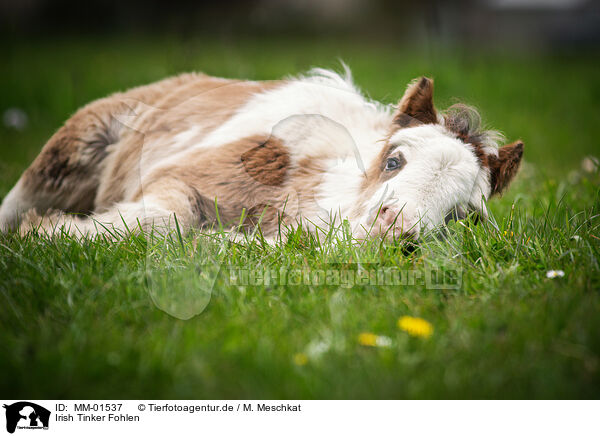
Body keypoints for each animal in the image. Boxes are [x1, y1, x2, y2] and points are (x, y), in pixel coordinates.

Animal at [0, 67, 524, 242]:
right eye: (393, 161)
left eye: (463, 215)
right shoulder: (180, 177)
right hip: (66, 152)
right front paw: (49, 233)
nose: (394, 233)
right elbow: (168, 217)